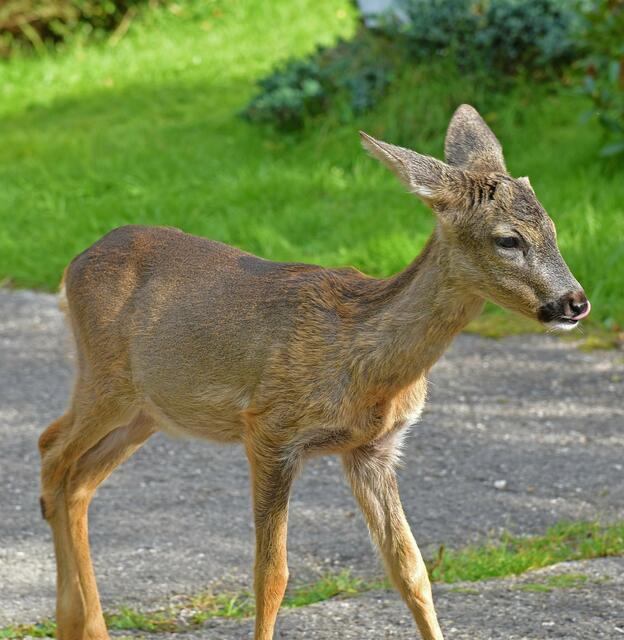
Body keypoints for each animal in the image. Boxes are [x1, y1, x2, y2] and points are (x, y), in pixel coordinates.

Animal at [36, 105, 592, 640]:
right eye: (508, 239)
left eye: (554, 228)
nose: (576, 302)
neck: (364, 364)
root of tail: (72, 265)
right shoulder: (269, 429)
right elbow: (272, 575)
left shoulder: (373, 451)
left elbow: (411, 569)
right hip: (106, 377)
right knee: (51, 450)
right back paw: (76, 621)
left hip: (149, 411)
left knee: (79, 479)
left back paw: (85, 625)